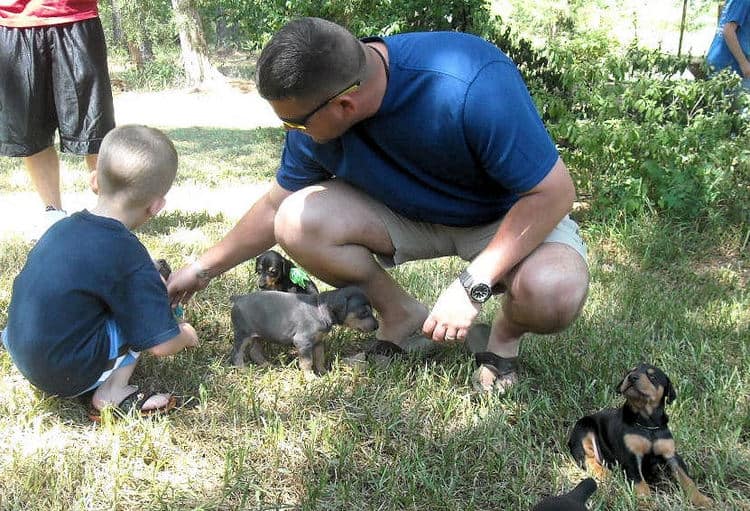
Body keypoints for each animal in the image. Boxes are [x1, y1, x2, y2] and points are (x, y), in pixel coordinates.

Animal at [229, 288, 378, 376]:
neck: (319, 308)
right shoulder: (303, 342)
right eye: (364, 312)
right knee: (237, 354)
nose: (377, 326)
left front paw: (324, 373)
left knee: (254, 352)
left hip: (260, 335)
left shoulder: (318, 342)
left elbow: (319, 358)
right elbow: (307, 362)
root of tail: (238, 298)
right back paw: (243, 369)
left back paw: (268, 365)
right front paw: (311, 378)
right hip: (243, 334)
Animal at [568, 364, 712, 508]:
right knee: (588, 459)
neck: (647, 423)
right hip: (584, 428)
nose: (632, 377)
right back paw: (605, 473)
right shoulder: (631, 457)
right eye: (630, 371)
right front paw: (647, 505)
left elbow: (687, 479)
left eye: (652, 376)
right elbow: (641, 485)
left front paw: (703, 500)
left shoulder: (671, 454)